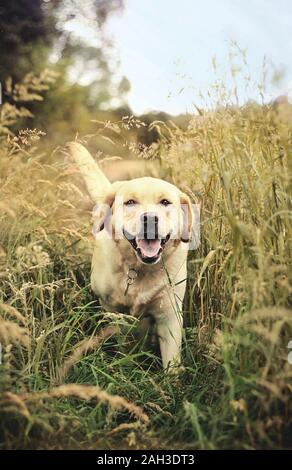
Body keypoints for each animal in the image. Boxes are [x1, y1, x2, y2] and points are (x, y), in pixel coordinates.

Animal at [68, 143, 194, 370]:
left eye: (165, 202)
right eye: (130, 202)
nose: (150, 219)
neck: (138, 268)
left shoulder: (169, 313)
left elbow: (171, 361)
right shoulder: (113, 308)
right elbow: (124, 341)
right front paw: (125, 362)